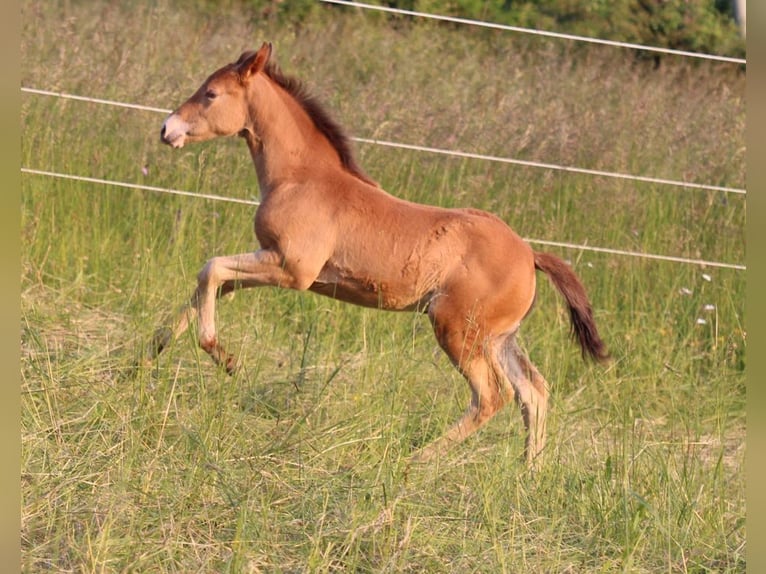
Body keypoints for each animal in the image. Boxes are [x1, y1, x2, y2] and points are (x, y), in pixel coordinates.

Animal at [154, 42, 612, 466]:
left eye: (211, 93)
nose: (166, 129)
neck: (302, 178)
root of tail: (530, 253)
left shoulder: (292, 269)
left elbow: (211, 269)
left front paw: (223, 357)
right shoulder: (268, 258)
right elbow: (211, 281)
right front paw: (154, 349)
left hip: (457, 330)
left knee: (491, 396)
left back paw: (417, 460)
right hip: (500, 337)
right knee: (533, 391)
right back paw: (528, 473)